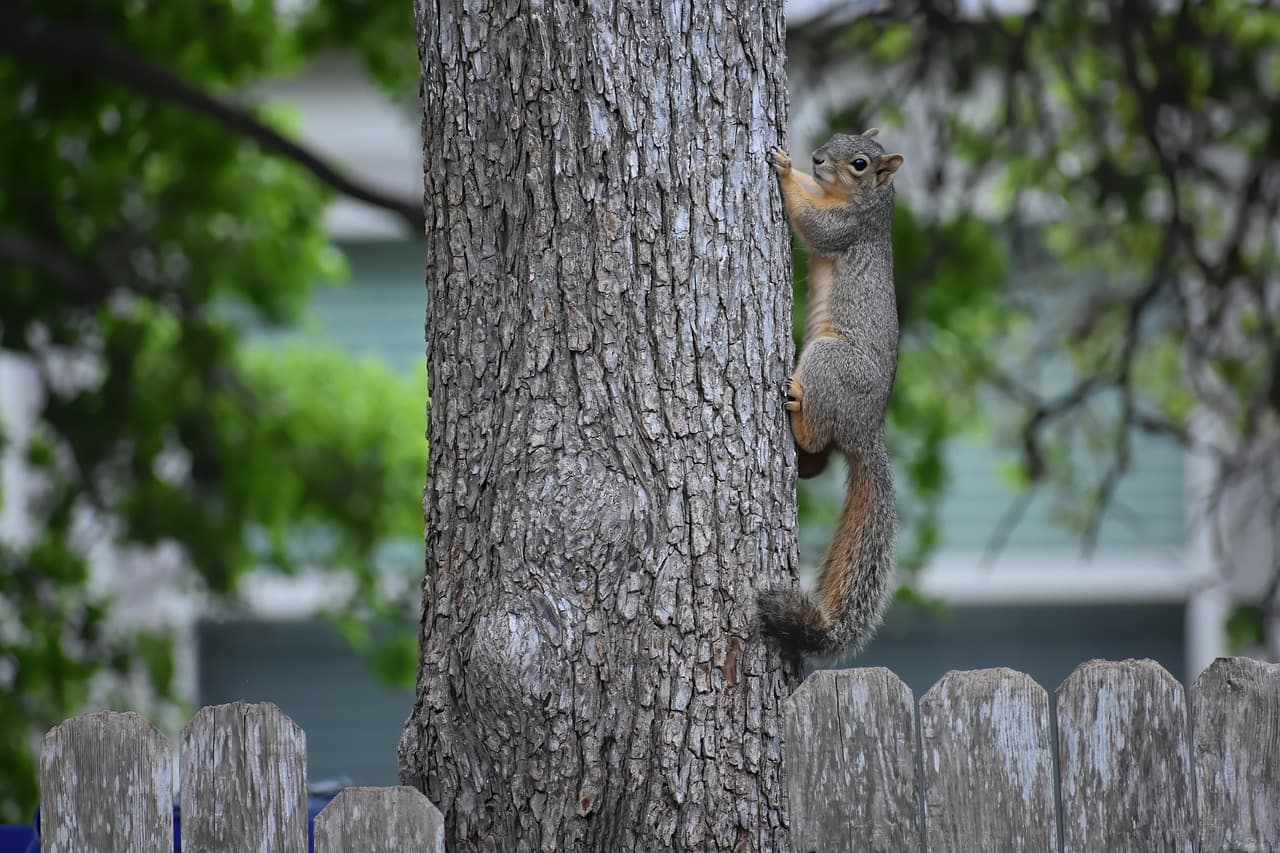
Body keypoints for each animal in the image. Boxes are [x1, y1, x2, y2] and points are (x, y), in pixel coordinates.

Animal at [758, 129, 903, 658]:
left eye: (859, 163)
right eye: (836, 137)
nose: (818, 157)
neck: (872, 204)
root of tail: (865, 429)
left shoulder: (846, 229)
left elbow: (813, 224)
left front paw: (784, 169)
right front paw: (794, 163)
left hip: (827, 361)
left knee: (820, 435)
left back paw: (795, 409)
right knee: (820, 459)